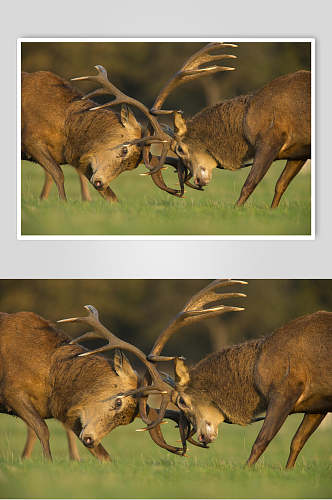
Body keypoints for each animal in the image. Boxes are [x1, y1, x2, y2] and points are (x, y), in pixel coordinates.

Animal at [120, 282, 332, 468]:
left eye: (181, 401)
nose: (202, 437)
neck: (258, 374)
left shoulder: (286, 391)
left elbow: (261, 441)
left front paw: (246, 470)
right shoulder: (317, 404)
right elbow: (297, 442)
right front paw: (288, 470)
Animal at [145, 42, 312, 208]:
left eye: (179, 149)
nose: (198, 180)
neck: (247, 125)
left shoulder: (270, 140)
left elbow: (249, 185)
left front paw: (236, 209)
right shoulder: (299, 151)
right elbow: (281, 185)